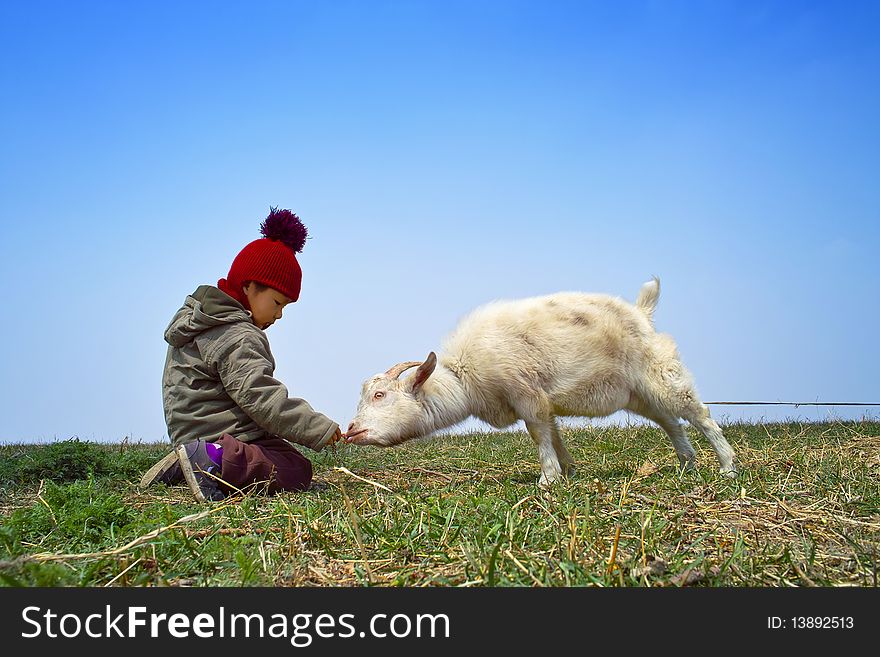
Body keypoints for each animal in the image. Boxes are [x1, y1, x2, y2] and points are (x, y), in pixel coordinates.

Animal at [348, 276, 740, 486]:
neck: (465, 377)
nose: (351, 430)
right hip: (639, 393)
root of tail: (642, 313)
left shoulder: (525, 392)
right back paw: (687, 463)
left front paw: (548, 478)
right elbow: (553, 431)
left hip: (661, 373)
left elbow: (538, 431)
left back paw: (728, 466)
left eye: (380, 394)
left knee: (699, 414)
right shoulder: (540, 399)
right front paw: (567, 470)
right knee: (670, 421)